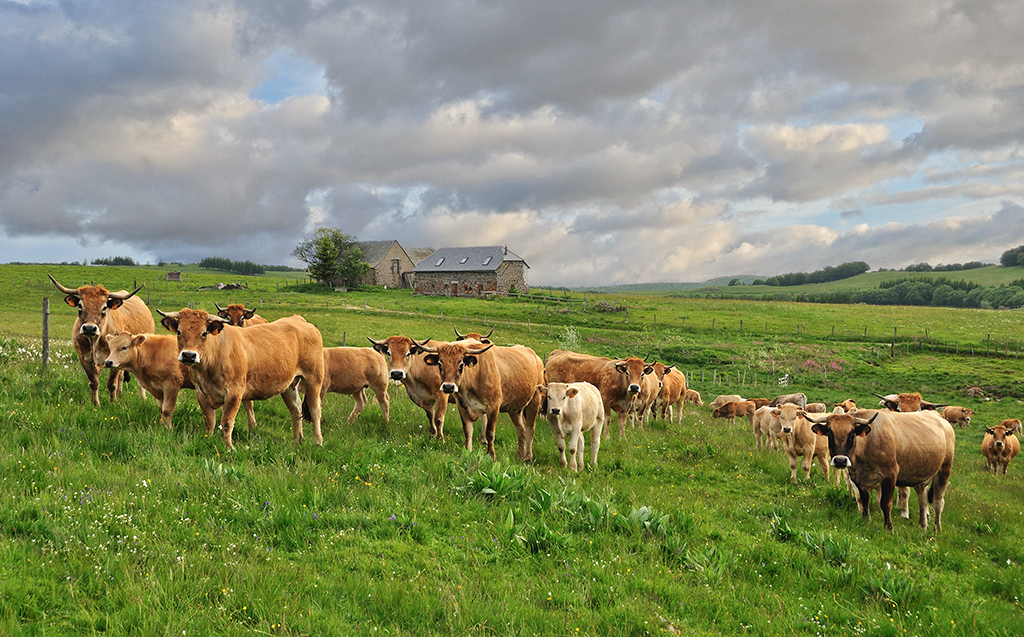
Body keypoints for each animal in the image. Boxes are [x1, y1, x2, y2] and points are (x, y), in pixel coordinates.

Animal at [48, 272, 151, 403]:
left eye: (104, 307)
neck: (94, 342)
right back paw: (120, 395)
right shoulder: (83, 359)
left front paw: (113, 403)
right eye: (80, 306)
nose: (89, 328)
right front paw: (95, 403)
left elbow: (112, 383)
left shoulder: (115, 360)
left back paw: (142, 397)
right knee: (121, 376)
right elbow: (93, 383)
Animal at [158, 311, 323, 454]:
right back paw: (297, 440)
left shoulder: (234, 392)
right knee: (296, 409)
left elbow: (227, 422)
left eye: (204, 333)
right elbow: (209, 420)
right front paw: (208, 438)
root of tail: (300, 321)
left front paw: (229, 447)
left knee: (315, 410)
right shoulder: (201, 392)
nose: (188, 355)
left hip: (314, 379)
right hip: (288, 385)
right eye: (179, 332)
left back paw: (318, 441)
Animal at [806, 409, 958, 532]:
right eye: (830, 434)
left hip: (944, 470)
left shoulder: (890, 475)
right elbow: (864, 500)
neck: (868, 444)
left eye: (852, 434)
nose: (840, 460)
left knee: (938, 501)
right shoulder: (858, 478)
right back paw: (923, 525)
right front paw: (866, 520)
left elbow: (885, 503)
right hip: (919, 475)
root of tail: (942, 420)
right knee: (923, 498)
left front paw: (889, 527)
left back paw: (936, 529)